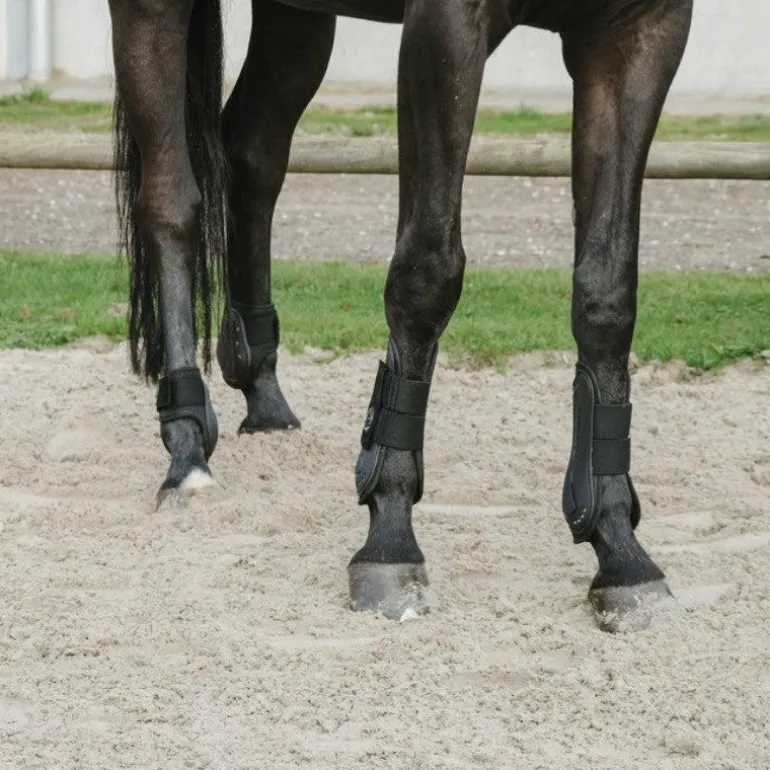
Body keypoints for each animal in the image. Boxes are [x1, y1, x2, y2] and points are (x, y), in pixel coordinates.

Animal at [108, 0, 693, 632]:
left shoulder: (639, 36)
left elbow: (607, 293)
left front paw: (620, 550)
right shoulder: (444, 29)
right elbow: (427, 274)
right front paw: (390, 538)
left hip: (295, 21)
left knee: (253, 153)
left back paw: (265, 398)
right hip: (152, 14)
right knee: (172, 201)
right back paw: (186, 449)